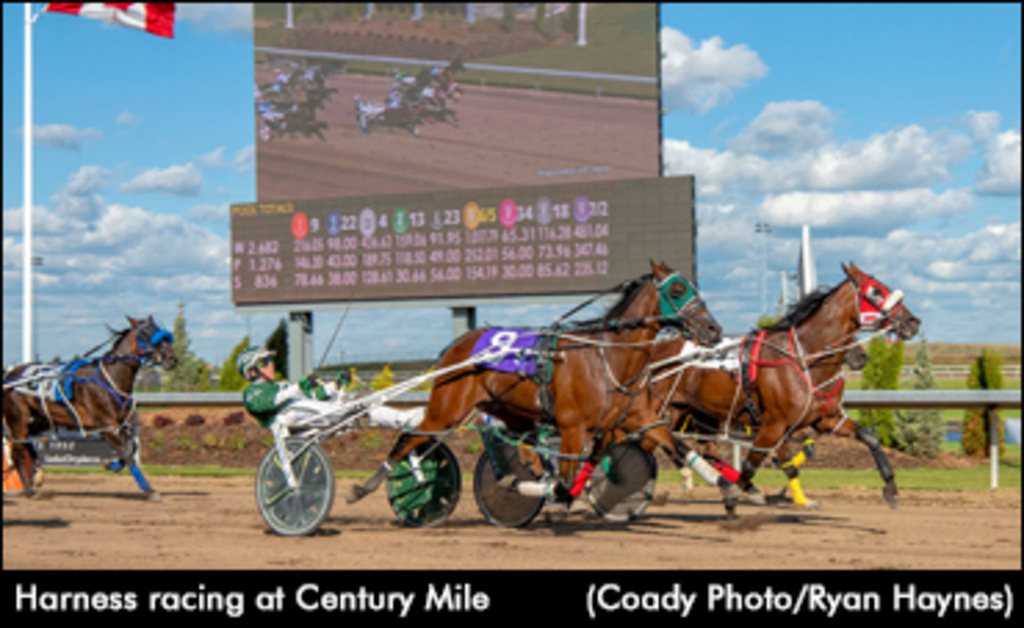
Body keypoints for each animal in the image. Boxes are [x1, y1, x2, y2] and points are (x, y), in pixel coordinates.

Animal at [2, 315, 177, 501]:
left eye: (165, 337)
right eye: (147, 334)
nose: (172, 359)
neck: (110, 379)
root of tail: (9, 374)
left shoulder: (122, 425)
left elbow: (131, 449)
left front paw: (109, 463)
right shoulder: (107, 426)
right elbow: (127, 454)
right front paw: (150, 490)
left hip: (42, 420)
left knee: (27, 442)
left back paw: (37, 475)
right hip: (18, 419)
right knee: (17, 453)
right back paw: (29, 490)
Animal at [348, 259, 724, 504]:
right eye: (678, 288)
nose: (714, 329)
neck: (606, 356)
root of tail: (457, 344)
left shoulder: (637, 418)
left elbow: (677, 446)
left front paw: (728, 486)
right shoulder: (572, 428)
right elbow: (565, 483)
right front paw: (536, 491)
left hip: (511, 412)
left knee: (520, 450)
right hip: (446, 410)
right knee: (408, 437)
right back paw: (364, 487)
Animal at [651, 259, 925, 510]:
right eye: (876, 291)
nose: (913, 321)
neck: (805, 358)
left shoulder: (826, 418)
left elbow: (868, 437)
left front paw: (890, 489)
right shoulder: (773, 425)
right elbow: (751, 466)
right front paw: (740, 496)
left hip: (700, 414)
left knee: (701, 448)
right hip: (669, 410)